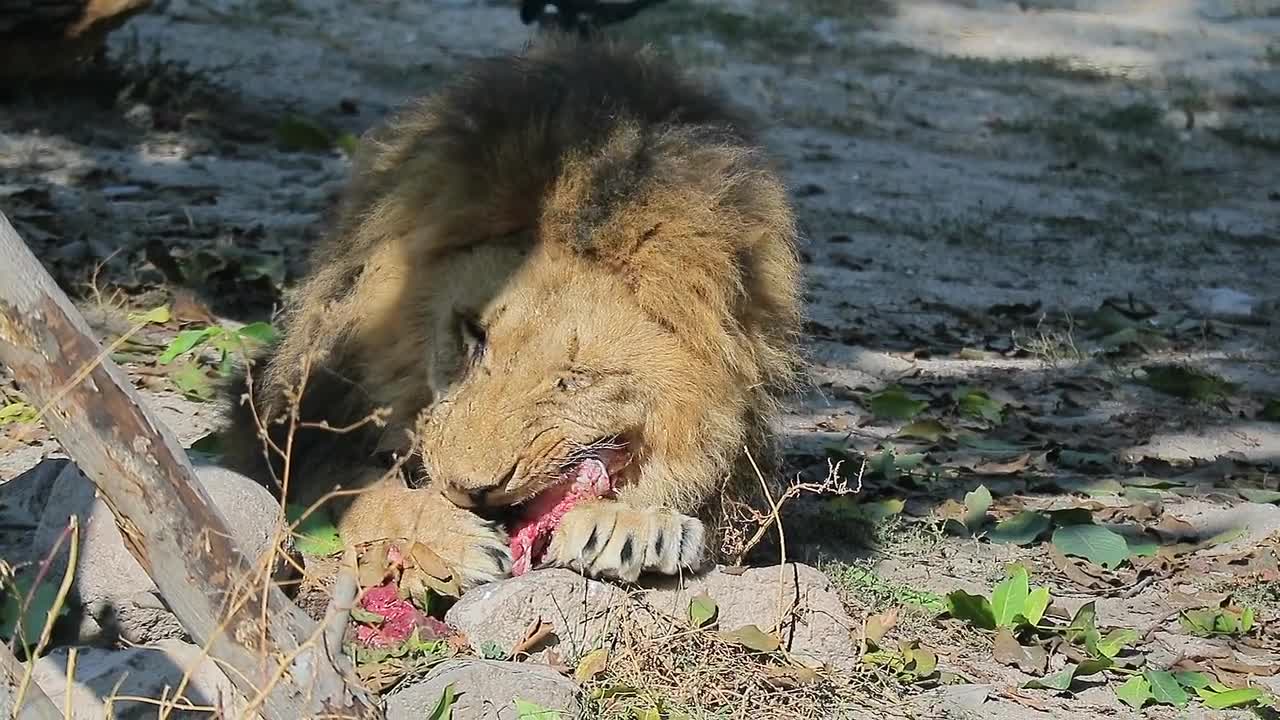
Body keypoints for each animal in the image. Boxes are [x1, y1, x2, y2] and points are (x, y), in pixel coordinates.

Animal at [220, 33, 798, 589]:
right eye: (473, 335)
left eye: (577, 379)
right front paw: (445, 536)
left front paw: (631, 525)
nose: (468, 489)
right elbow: (350, 487)